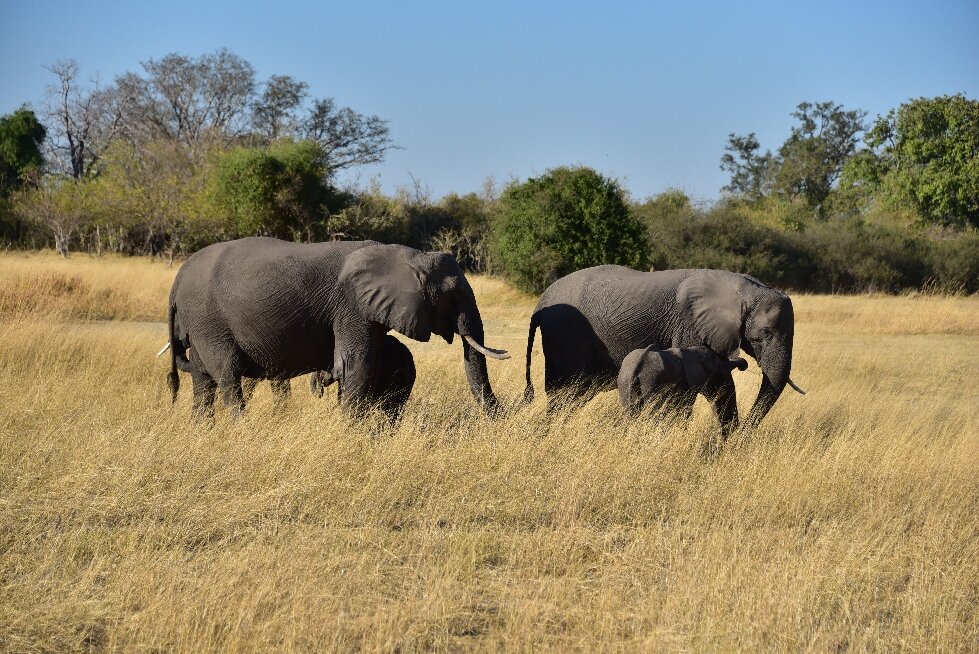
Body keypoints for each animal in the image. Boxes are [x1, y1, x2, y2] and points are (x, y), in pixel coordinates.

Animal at [159, 237, 507, 419]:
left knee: (203, 382)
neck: (404, 255)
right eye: (453, 295)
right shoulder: (352, 306)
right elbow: (357, 364)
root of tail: (178, 277)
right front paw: (353, 430)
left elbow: (366, 364)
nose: (501, 415)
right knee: (228, 377)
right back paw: (238, 427)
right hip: (209, 321)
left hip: (202, 323)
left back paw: (204, 429)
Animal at [617, 345, 748, 419]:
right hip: (652, 383)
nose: (743, 366)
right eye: (719, 375)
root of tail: (639, 365)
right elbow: (686, 408)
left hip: (625, 384)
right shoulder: (687, 384)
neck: (690, 351)